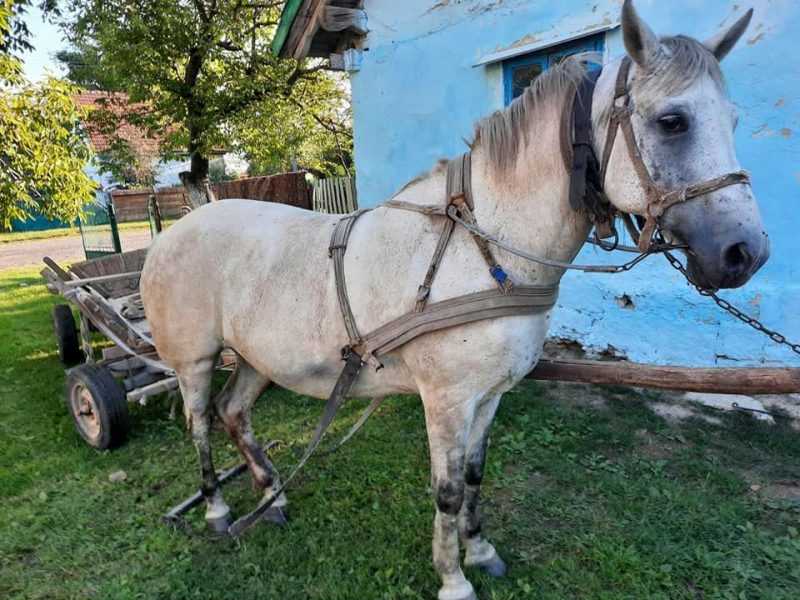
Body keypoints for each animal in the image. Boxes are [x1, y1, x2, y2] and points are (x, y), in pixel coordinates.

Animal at [142, 2, 768, 596]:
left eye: (735, 119)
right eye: (672, 121)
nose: (746, 252)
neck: (482, 247)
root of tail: (173, 232)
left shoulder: (489, 395)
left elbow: (472, 477)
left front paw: (482, 551)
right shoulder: (446, 400)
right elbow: (444, 490)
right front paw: (453, 579)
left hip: (255, 358)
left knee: (234, 412)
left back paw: (273, 497)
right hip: (195, 360)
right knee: (200, 422)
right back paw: (218, 509)